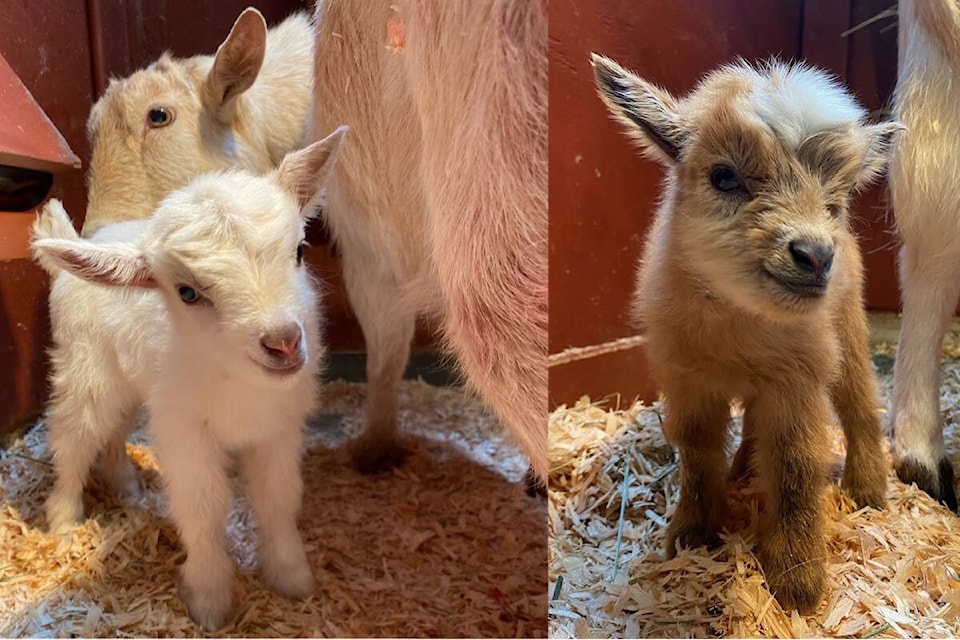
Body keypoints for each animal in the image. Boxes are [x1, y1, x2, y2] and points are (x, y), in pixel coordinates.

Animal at [34, 126, 348, 632]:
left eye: (299, 251)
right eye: (187, 292)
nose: (283, 343)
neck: (237, 382)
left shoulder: (278, 429)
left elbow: (277, 498)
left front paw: (291, 577)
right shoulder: (186, 433)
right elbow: (203, 509)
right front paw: (209, 599)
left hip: (132, 386)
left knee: (114, 431)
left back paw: (125, 485)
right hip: (86, 372)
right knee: (74, 437)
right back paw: (63, 520)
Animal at [592, 57, 900, 612]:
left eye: (835, 202)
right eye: (724, 176)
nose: (815, 256)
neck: (738, 327)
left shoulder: (799, 381)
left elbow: (797, 467)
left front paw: (797, 579)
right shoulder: (689, 381)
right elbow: (696, 451)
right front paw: (693, 533)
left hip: (847, 326)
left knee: (859, 402)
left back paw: (867, 490)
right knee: (757, 425)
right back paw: (744, 472)